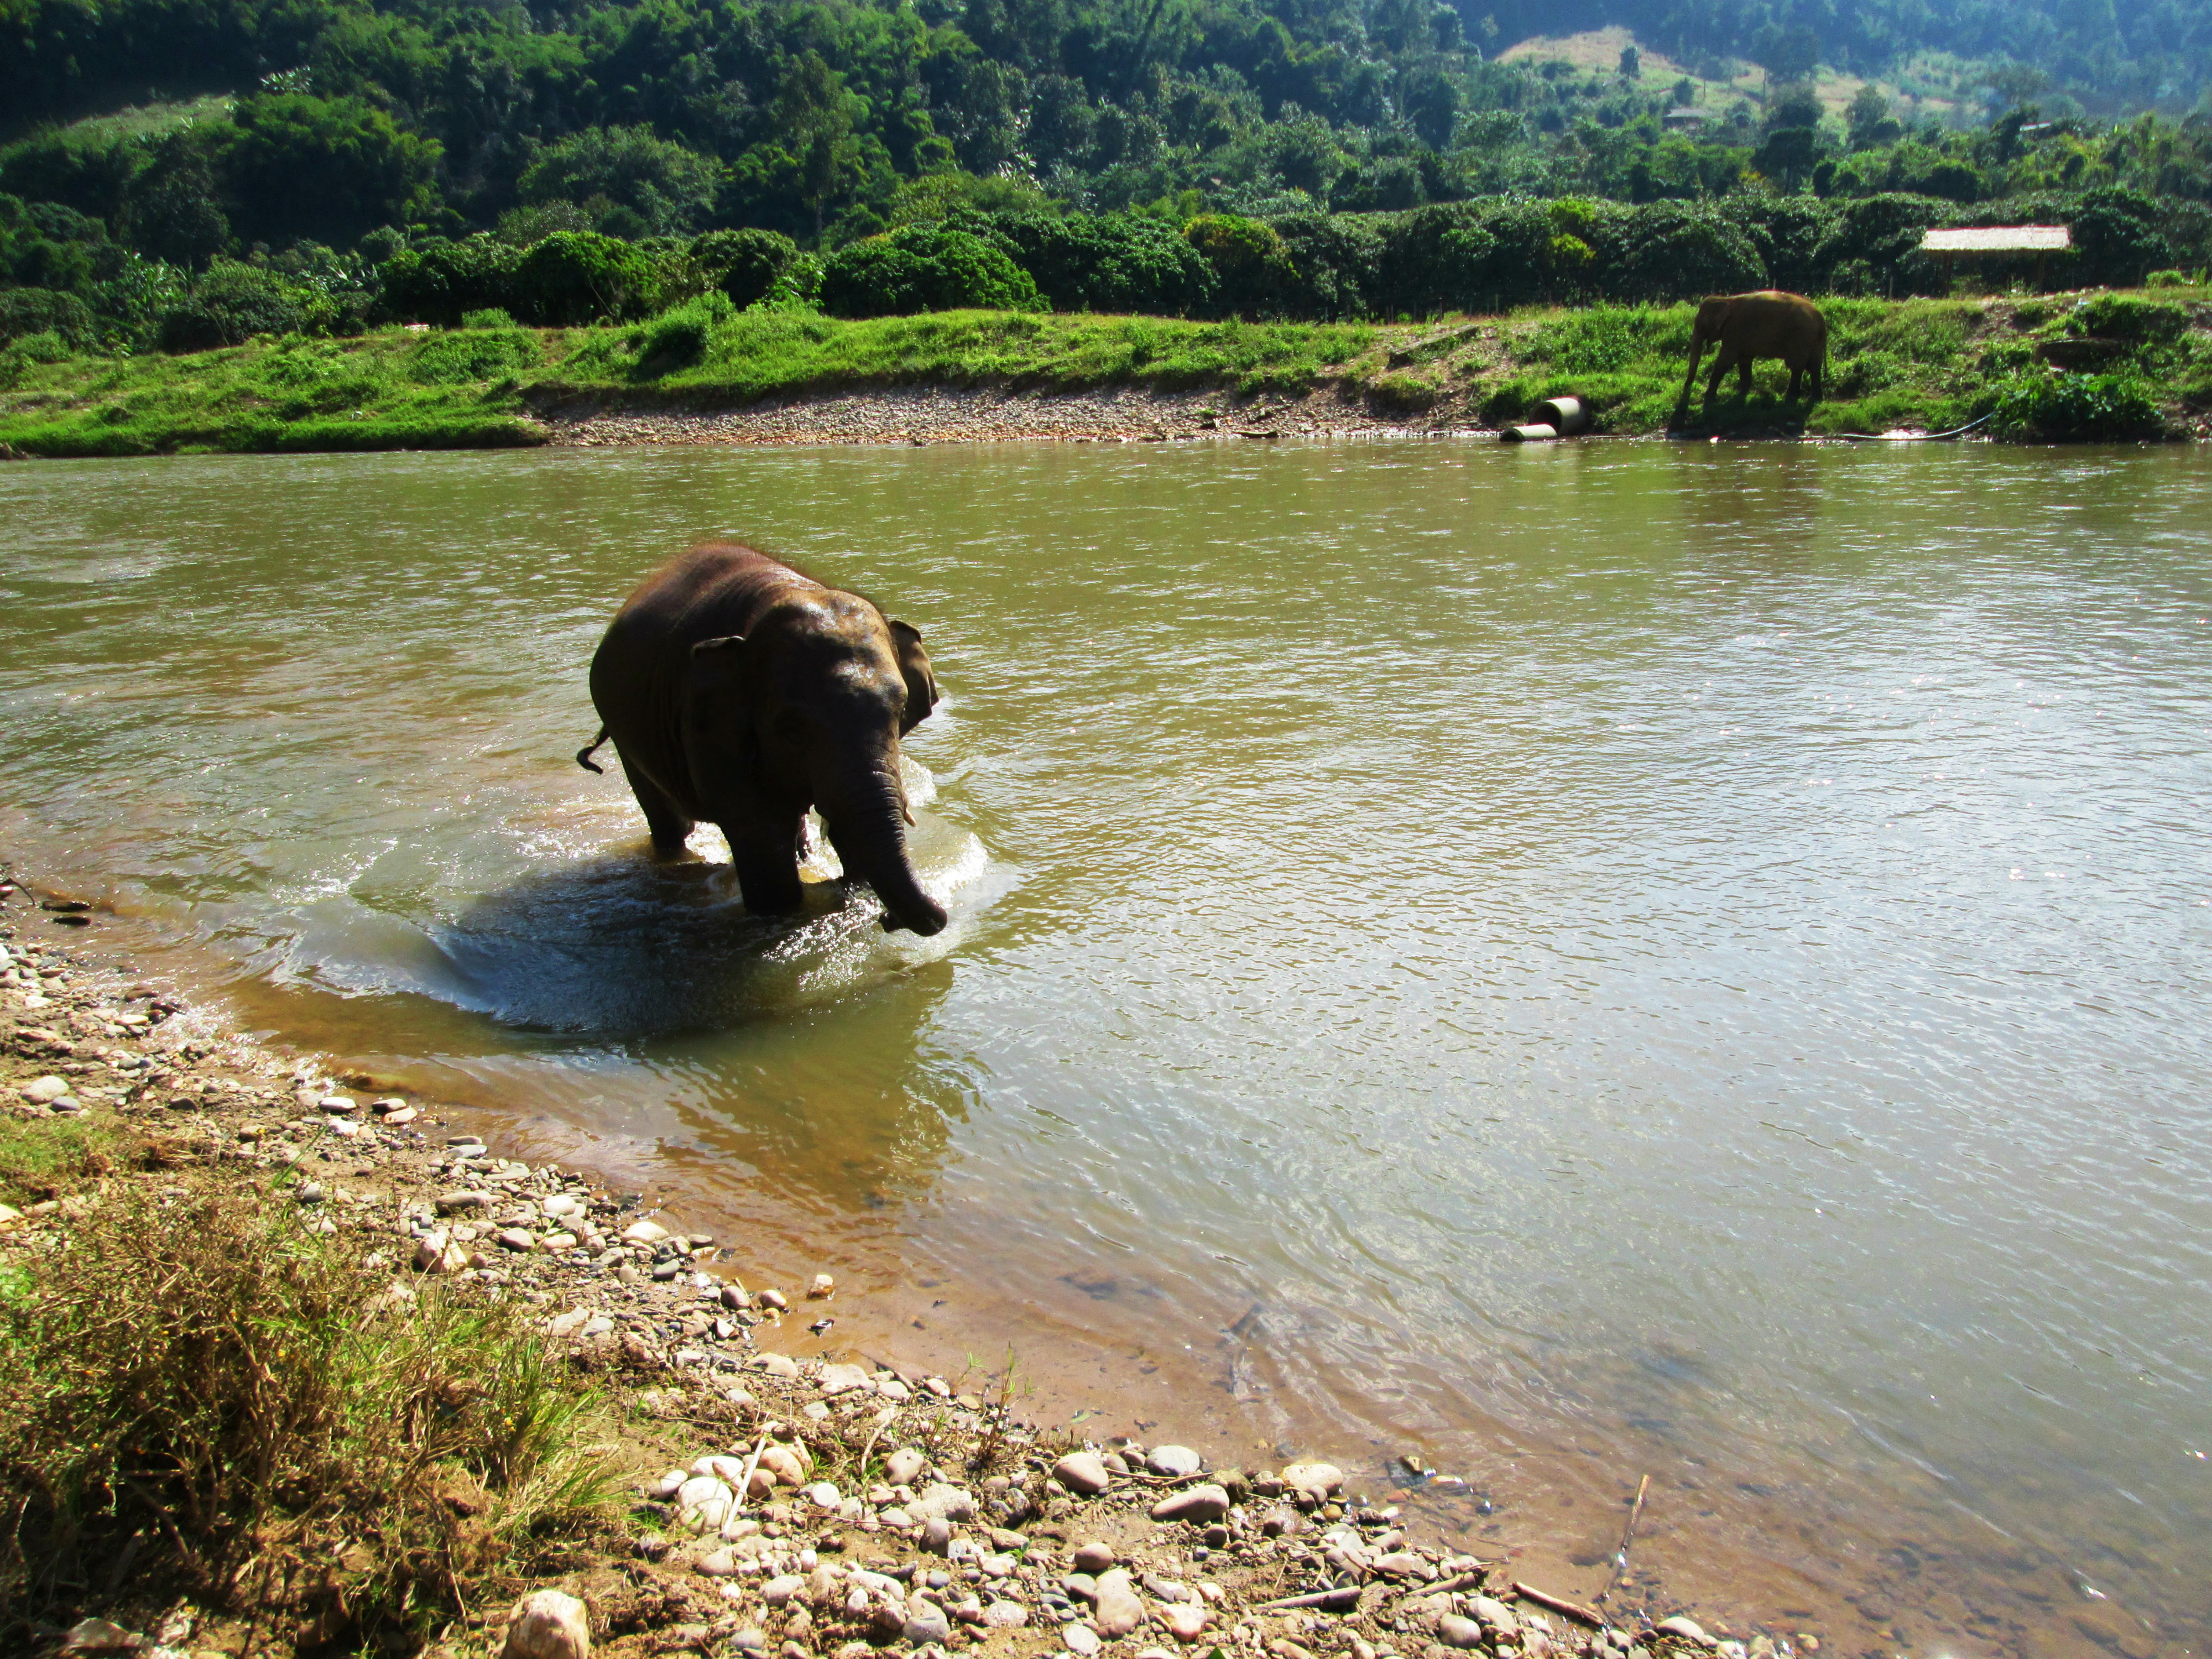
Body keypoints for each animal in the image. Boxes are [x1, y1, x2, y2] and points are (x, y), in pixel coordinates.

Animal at [577, 542, 948, 936]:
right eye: (791, 728)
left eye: (901, 710)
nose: (887, 920)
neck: (782, 593)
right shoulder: (707, 723)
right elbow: (760, 837)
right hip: (621, 728)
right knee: (669, 820)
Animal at [1678, 290, 1828, 408]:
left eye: (1700, 324)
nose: (1686, 389)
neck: (1726, 300)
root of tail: (1821, 318)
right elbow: (1745, 359)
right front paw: (1741, 396)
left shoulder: (1735, 330)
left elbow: (1727, 359)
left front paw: (1709, 399)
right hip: (1814, 339)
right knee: (1814, 366)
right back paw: (1816, 400)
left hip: (1800, 336)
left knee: (1797, 365)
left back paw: (1790, 400)